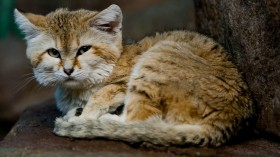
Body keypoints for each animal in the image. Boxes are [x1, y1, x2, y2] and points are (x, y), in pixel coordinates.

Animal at [15, 4, 256, 147]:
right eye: (53, 53)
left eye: (83, 49)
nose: (67, 70)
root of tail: (231, 118)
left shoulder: (122, 83)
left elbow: (101, 95)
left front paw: (84, 115)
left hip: (155, 61)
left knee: (137, 121)